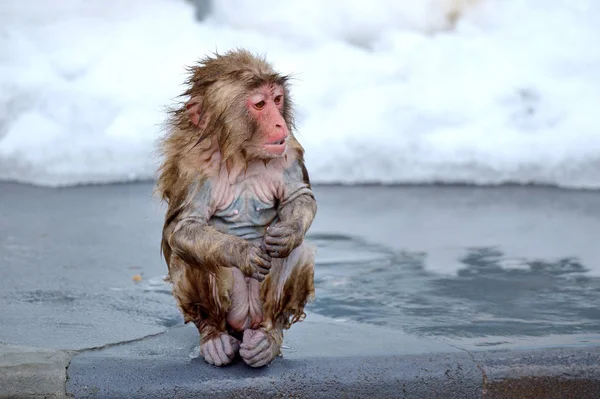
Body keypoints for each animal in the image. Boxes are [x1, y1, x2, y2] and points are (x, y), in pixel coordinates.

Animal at [156, 49, 318, 368]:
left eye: (277, 99)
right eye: (259, 104)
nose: (280, 124)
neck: (242, 155)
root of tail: (244, 326)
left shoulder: (288, 150)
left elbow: (299, 197)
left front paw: (288, 234)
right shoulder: (191, 166)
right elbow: (183, 227)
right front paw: (243, 253)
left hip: (261, 309)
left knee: (298, 253)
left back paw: (267, 339)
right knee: (189, 257)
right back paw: (214, 337)